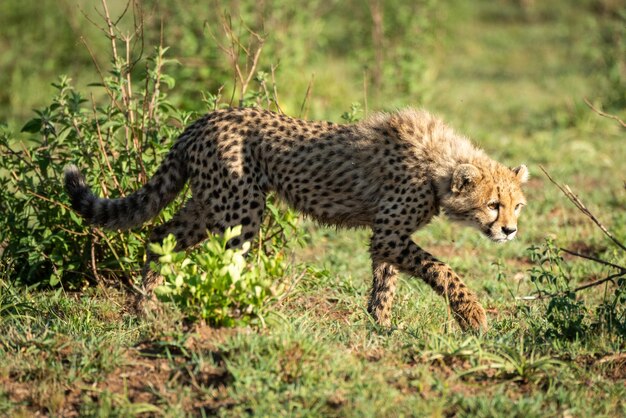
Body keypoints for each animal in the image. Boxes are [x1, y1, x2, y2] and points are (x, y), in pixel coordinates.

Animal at [64, 107, 528, 330]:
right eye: (493, 204)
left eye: (517, 205)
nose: (510, 230)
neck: (439, 164)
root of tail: (203, 119)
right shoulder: (390, 234)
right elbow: (442, 269)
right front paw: (473, 315)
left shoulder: (387, 237)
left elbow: (385, 282)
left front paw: (380, 325)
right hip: (239, 210)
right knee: (226, 262)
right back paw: (236, 316)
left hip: (208, 202)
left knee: (159, 235)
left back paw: (144, 308)